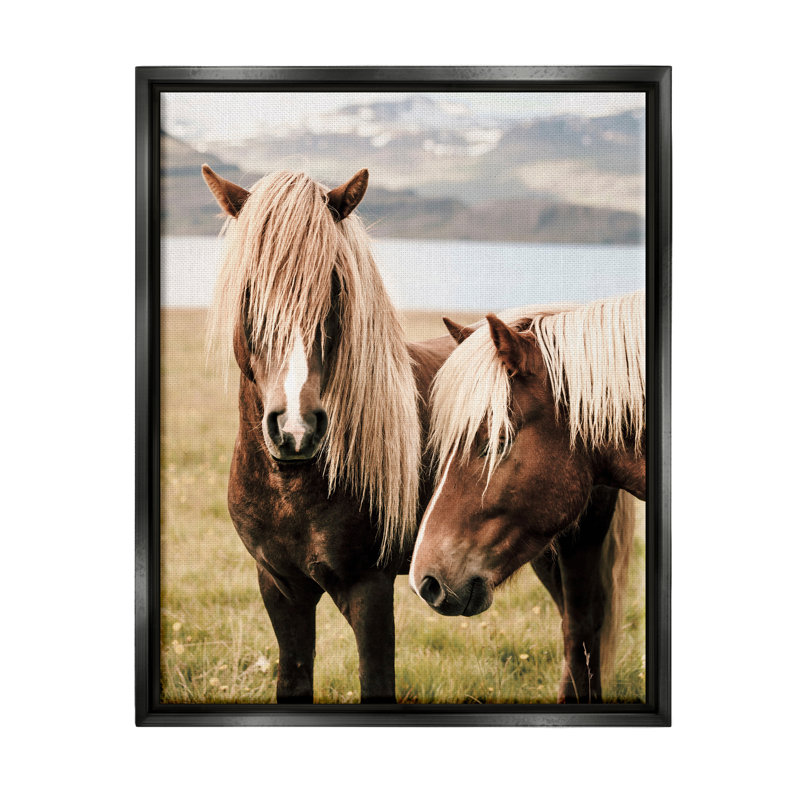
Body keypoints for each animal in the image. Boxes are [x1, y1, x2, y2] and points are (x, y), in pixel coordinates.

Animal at [202, 165, 457, 703]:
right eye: (249, 289)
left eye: (335, 287)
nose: (295, 429)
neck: (294, 489)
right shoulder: (280, 586)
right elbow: (294, 679)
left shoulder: (369, 588)